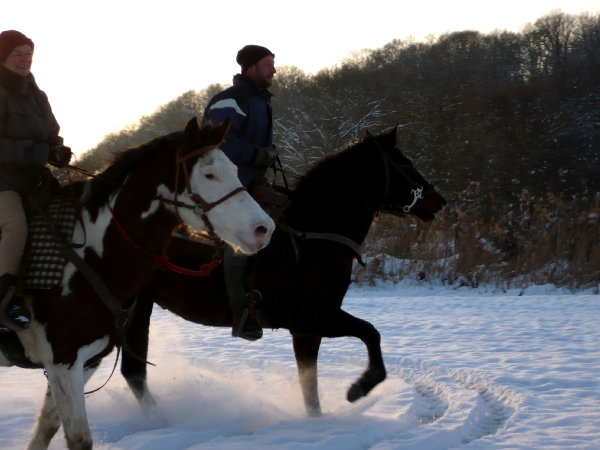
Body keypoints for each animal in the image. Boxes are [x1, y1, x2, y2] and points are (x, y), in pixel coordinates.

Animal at [0, 118, 274, 448]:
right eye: (209, 174)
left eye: (234, 168)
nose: (264, 229)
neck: (88, 256)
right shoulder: (63, 362)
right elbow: (79, 438)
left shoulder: (85, 362)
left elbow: (46, 429)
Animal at [122, 125, 446, 416]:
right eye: (405, 163)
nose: (439, 201)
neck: (312, 235)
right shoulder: (315, 317)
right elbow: (370, 333)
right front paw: (360, 387)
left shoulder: (306, 330)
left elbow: (310, 388)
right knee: (133, 369)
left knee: (133, 370)